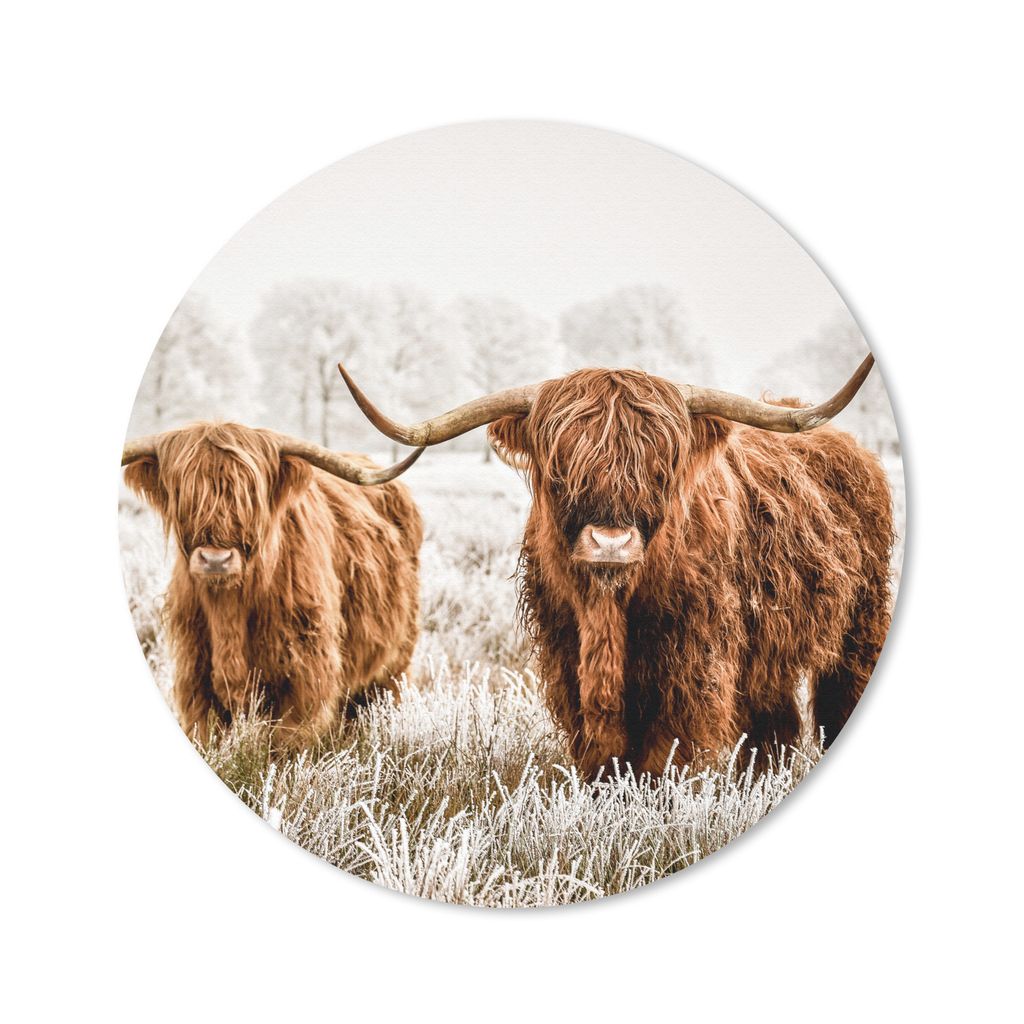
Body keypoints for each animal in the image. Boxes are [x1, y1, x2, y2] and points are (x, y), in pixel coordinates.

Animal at [122, 422, 424, 749]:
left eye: (251, 495)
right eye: (182, 492)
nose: (216, 560)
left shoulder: (305, 677)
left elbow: (287, 743)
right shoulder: (195, 677)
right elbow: (206, 733)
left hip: (395, 662)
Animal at [336, 355, 893, 779]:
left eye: (660, 465)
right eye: (561, 465)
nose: (611, 542)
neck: (608, 607)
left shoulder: (693, 661)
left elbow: (667, 750)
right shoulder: (566, 654)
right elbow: (600, 749)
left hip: (860, 625)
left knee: (838, 700)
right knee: (774, 723)